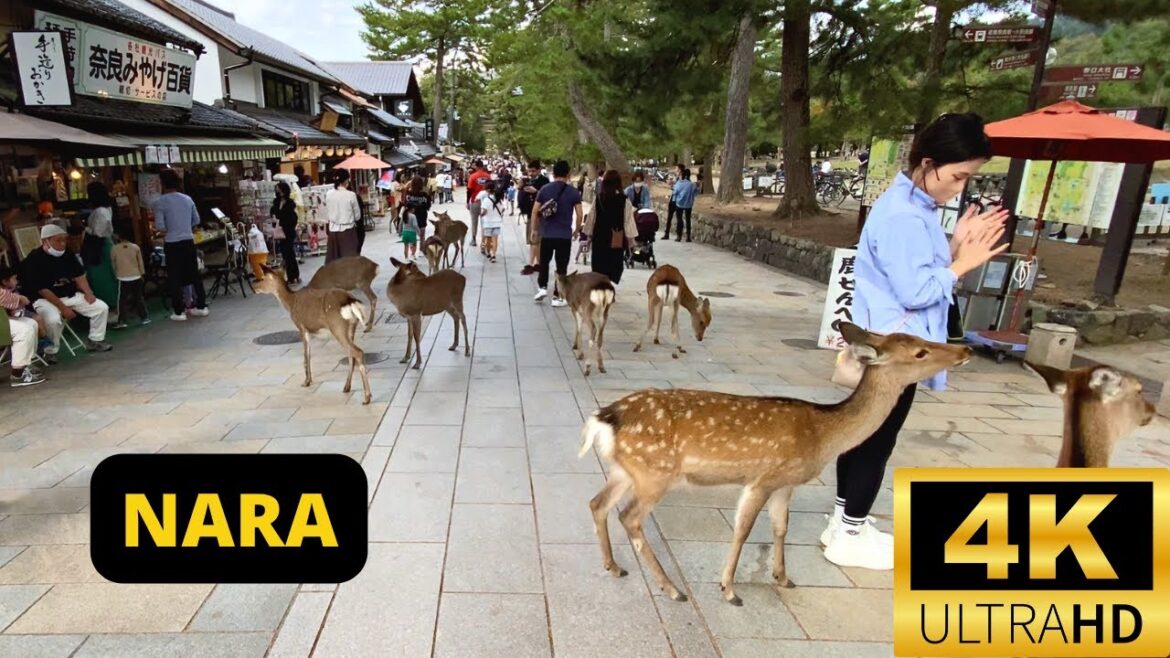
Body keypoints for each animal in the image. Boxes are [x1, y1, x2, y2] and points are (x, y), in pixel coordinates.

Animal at [254, 266, 371, 404]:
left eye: (263, 278)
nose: (254, 287)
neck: (291, 303)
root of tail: (351, 301)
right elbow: (309, 354)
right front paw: (308, 380)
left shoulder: (301, 326)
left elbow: (306, 356)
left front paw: (306, 382)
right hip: (351, 327)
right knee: (351, 355)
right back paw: (346, 387)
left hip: (337, 327)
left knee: (357, 352)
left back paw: (367, 397)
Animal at [578, 322, 971, 606]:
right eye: (920, 351)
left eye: (921, 337)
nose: (964, 349)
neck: (823, 434)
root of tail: (604, 419)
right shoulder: (763, 477)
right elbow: (743, 529)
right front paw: (729, 590)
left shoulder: (786, 483)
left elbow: (781, 526)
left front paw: (783, 577)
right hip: (654, 473)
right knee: (629, 517)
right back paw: (673, 589)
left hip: (625, 471)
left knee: (597, 503)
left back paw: (614, 567)